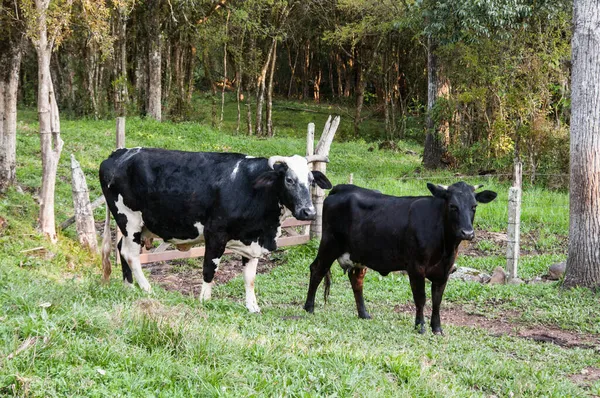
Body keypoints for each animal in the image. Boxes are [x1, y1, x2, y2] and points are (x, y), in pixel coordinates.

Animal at [99, 148, 332, 312]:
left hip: (139, 227)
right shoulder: (215, 234)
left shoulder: (252, 241)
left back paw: (129, 287)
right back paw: (147, 289)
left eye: (311, 181)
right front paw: (205, 300)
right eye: (289, 180)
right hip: (129, 220)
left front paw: (253, 307)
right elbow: (209, 269)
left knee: (121, 249)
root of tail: (118, 154)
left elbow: (250, 277)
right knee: (130, 254)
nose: (309, 212)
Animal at [304, 182, 496, 334]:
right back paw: (309, 308)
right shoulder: (416, 267)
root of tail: (341, 188)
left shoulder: (444, 271)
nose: (468, 233)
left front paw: (437, 328)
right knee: (317, 270)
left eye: (474, 206)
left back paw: (364, 314)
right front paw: (420, 326)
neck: (445, 246)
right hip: (329, 244)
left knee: (356, 279)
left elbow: (437, 300)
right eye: (453, 206)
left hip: (358, 254)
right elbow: (421, 298)